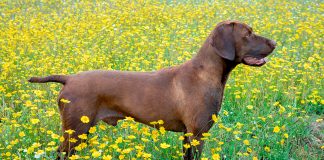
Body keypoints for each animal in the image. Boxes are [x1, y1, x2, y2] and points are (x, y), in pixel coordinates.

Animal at [29, 20, 276, 159]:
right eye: (248, 33)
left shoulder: (188, 135)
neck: (206, 73)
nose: (275, 43)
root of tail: (69, 79)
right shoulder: (197, 133)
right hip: (75, 131)